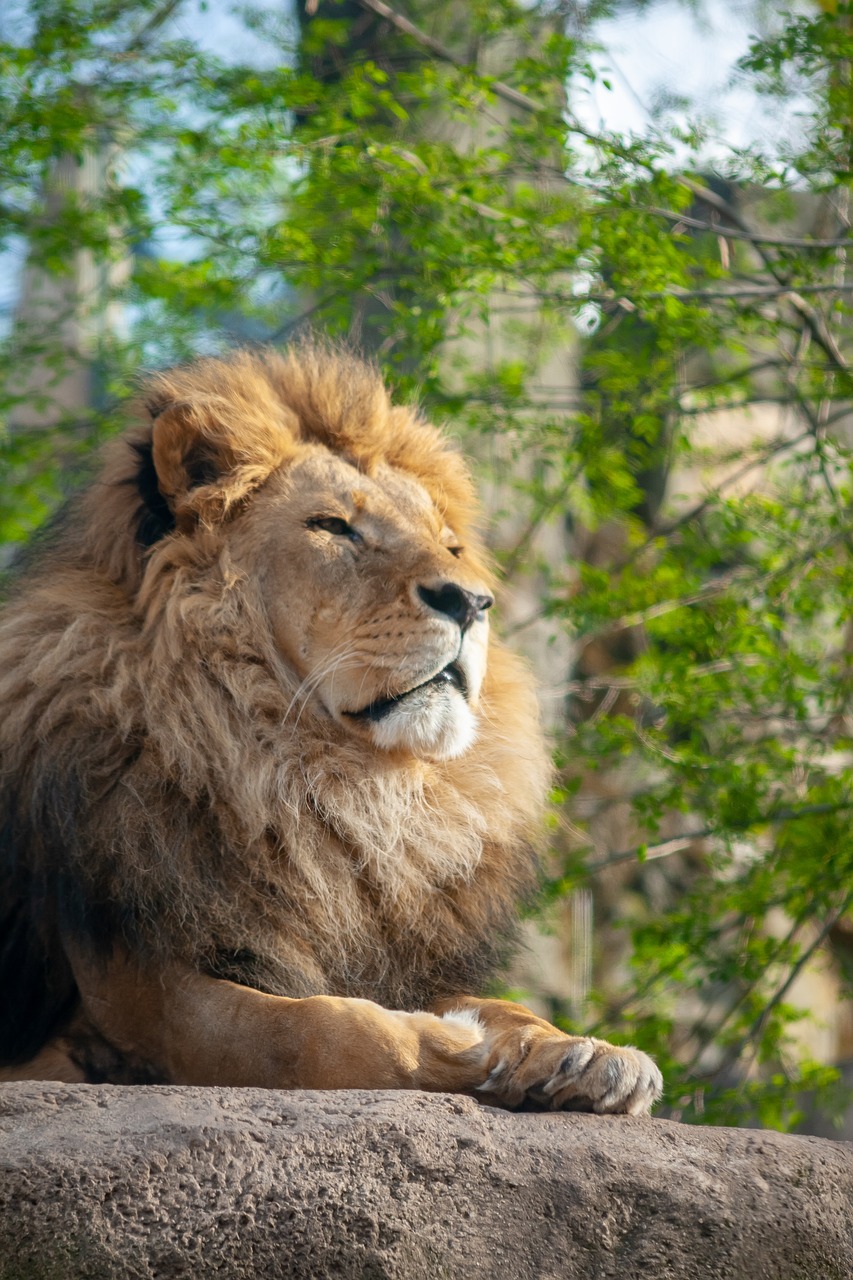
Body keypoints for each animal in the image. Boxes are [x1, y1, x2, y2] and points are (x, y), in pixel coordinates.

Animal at [0, 343, 660, 1111]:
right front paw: (454, 1047)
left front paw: (583, 1053)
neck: (320, 788)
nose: (471, 601)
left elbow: (501, 1005)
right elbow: (314, 1031)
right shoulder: (136, 993)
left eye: (451, 547)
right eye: (333, 528)